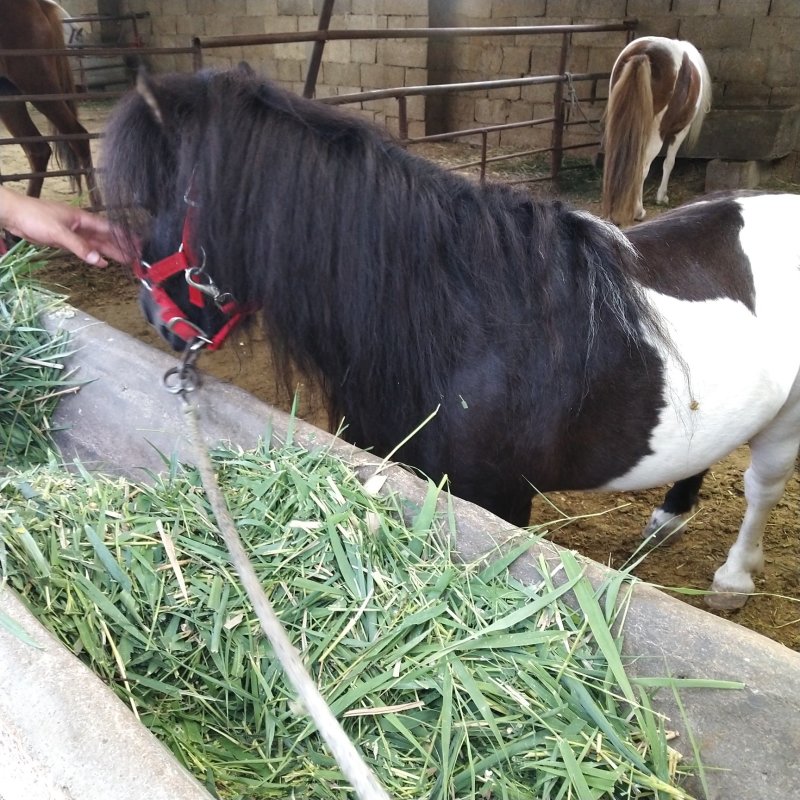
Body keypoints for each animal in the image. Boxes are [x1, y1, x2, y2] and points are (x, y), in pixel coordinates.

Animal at [100, 67, 800, 611]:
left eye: (167, 197)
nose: (154, 312)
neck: (458, 329)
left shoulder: (500, 500)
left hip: (784, 427)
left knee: (760, 488)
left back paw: (733, 581)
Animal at [601, 37, 711, 227]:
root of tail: (645, 52)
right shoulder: (680, 132)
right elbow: (669, 162)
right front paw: (661, 197)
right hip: (656, 134)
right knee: (642, 167)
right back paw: (638, 211)